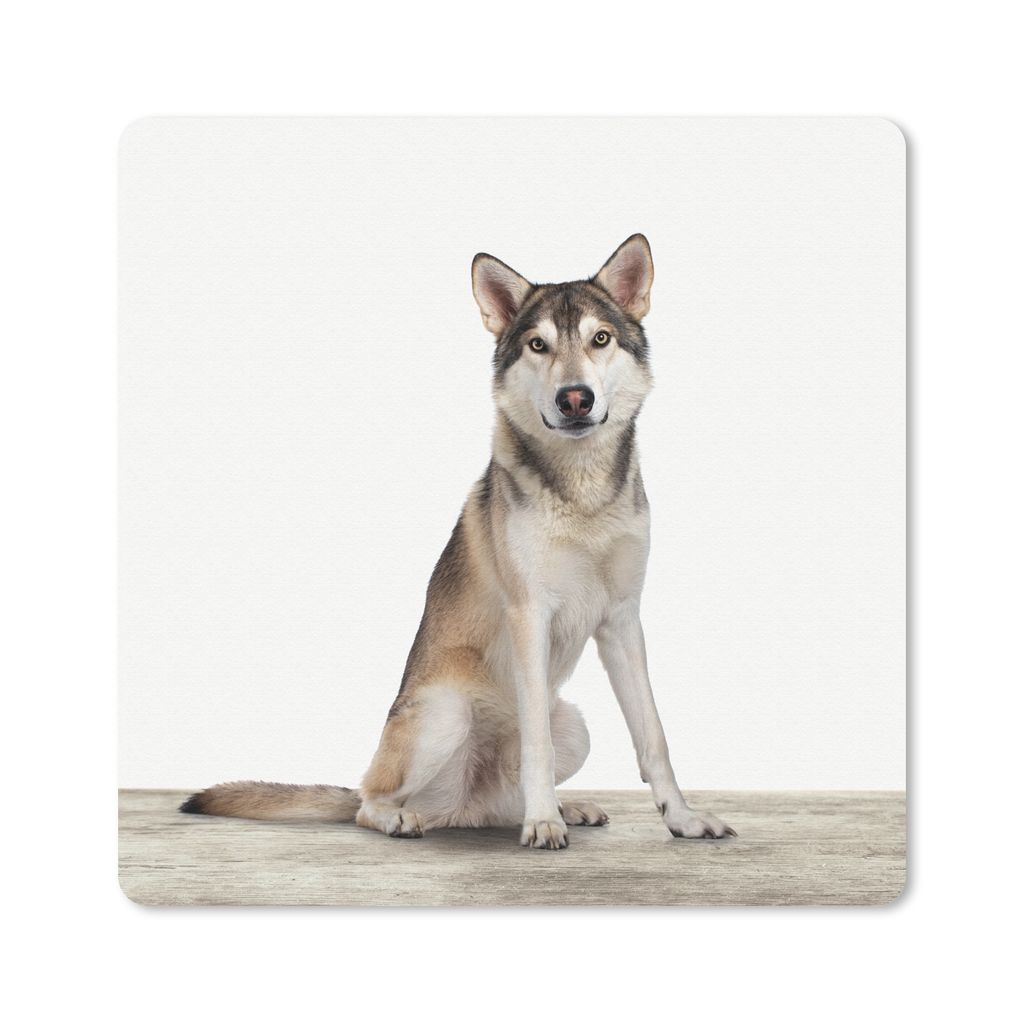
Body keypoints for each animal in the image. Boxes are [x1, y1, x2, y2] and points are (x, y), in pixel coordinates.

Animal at [181, 234, 734, 849]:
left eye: (601, 338)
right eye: (538, 345)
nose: (575, 399)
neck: (581, 494)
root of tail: (462, 805)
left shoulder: (622, 621)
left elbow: (653, 737)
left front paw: (682, 819)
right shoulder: (530, 615)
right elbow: (537, 743)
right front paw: (543, 824)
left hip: (575, 724)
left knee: (500, 798)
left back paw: (563, 807)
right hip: (446, 715)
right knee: (368, 802)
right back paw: (415, 818)